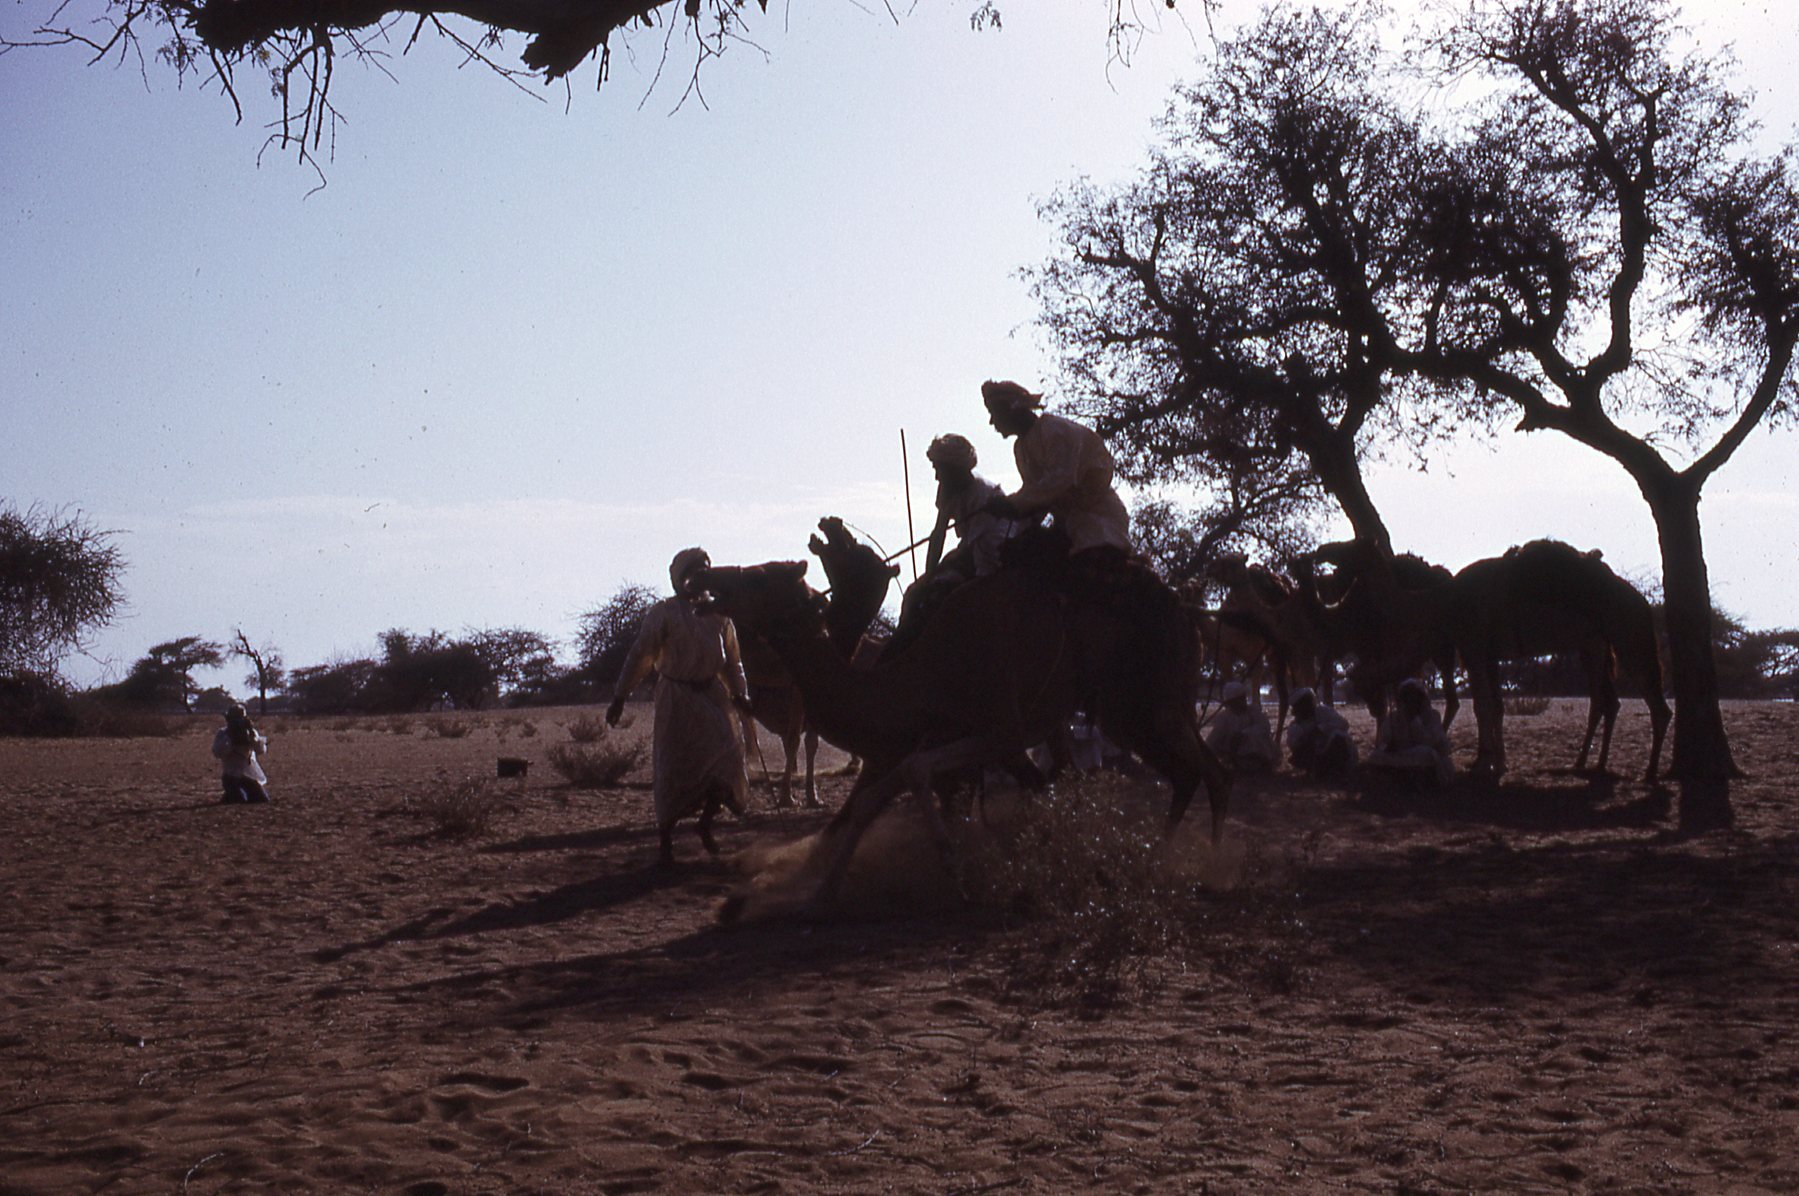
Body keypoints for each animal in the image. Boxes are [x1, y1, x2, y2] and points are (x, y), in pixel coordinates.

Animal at [699, 554, 1232, 911]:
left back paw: (1211, 872)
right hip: (1128, 712)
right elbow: (874, 798)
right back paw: (1154, 863)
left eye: (759, 575)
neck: (926, 671)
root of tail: (1190, 613)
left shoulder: (1000, 730)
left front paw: (957, 869)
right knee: (1187, 772)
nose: (704, 577)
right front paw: (821, 892)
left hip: (1156, 701)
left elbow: (915, 774)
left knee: (1212, 770)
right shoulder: (931, 737)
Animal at [739, 517, 895, 807]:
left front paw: (813, 796)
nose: (832, 521)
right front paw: (787, 796)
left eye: (858, 549)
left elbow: (811, 741)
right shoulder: (799, 687)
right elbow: (792, 739)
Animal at [1454, 540, 1670, 781]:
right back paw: (1592, 764)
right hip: (1594, 647)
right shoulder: (1489, 656)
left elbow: (1481, 707)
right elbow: (1496, 707)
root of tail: (1643, 603)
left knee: (1655, 706)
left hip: (1629, 641)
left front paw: (1482, 763)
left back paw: (1648, 772)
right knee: (1607, 702)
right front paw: (1498, 763)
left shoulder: (1474, 650)